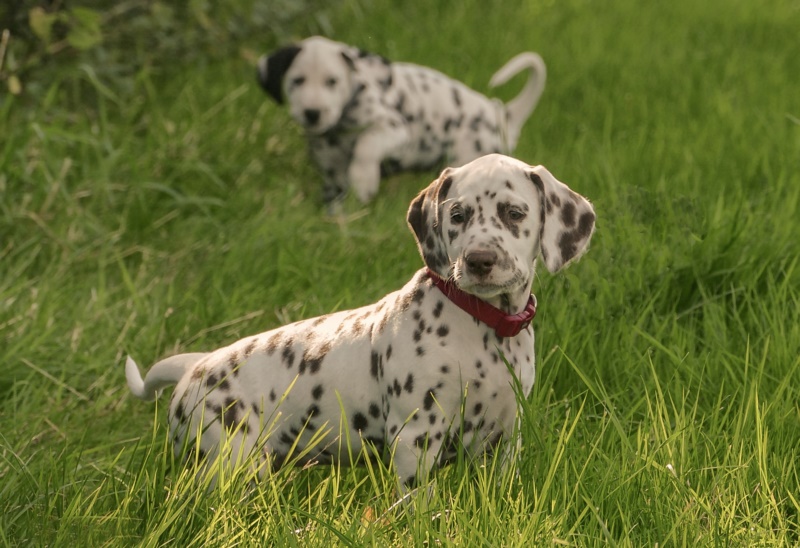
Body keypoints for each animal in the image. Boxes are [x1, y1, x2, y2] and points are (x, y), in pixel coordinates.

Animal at [126, 152, 592, 486]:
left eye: (514, 213)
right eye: (457, 215)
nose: (478, 261)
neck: (482, 326)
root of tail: (195, 366)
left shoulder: (507, 434)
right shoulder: (416, 435)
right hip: (227, 458)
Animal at [260, 35, 548, 206]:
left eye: (333, 81)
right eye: (297, 81)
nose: (312, 112)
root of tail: (500, 114)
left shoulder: (394, 129)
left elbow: (366, 145)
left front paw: (364, 180)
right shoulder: (330, 166)